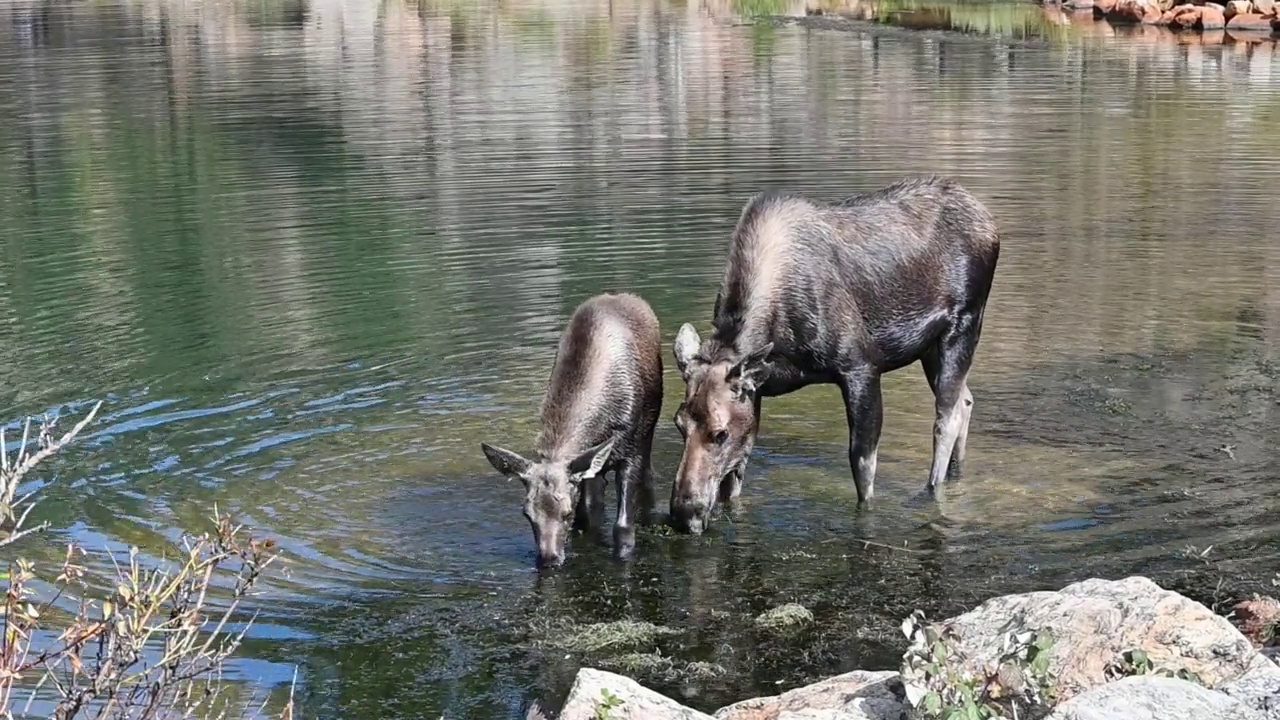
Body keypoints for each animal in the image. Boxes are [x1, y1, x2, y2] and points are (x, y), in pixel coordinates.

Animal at [665, 174, 1003, 532]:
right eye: (678, 423)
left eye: (719, 433)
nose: (683, 513)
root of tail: (989, 221)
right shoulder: (757, 389)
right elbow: (737, 471)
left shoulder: (860, 367)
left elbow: (862, 465)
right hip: (930, 346)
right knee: (966, 399)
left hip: (964, 323)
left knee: (946, 417)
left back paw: (931, 489)